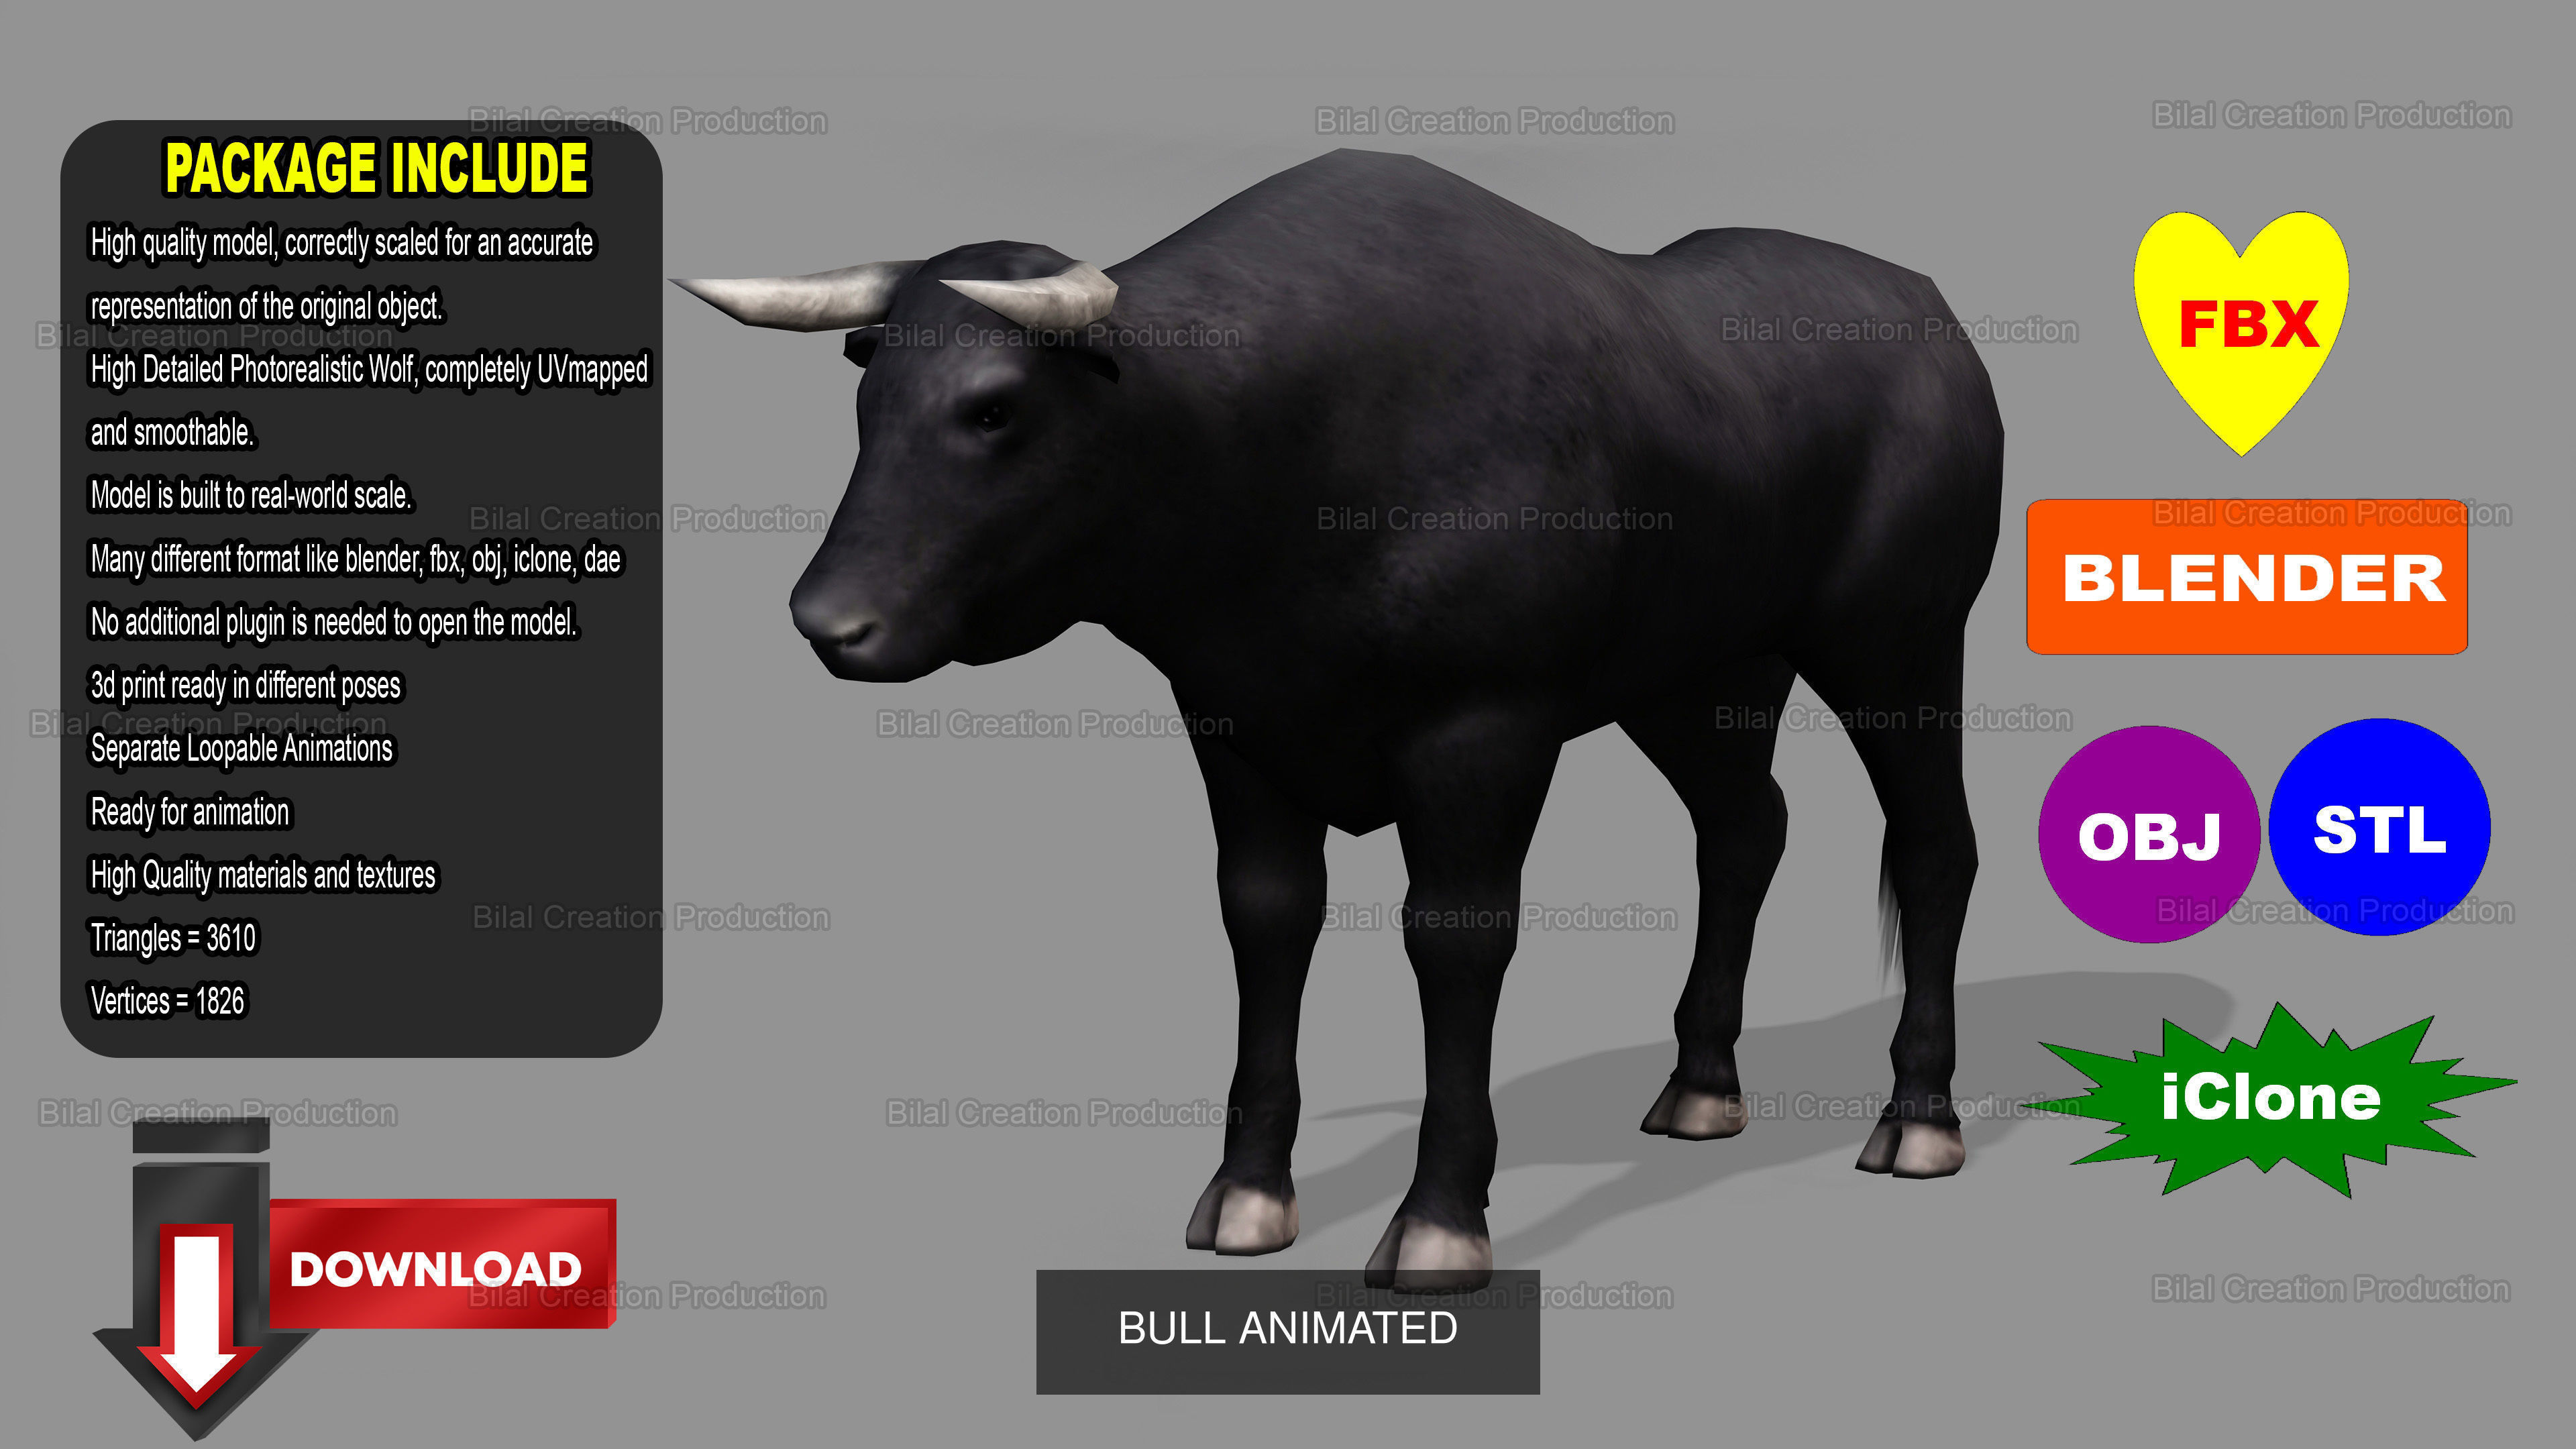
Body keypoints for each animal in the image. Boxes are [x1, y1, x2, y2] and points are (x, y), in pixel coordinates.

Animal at [676, 149, 2003, 1290]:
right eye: (870, 396)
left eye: (996, 408)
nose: (827, 619)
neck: (1285, 457)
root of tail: (1926, 307)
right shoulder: (1237, 728)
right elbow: (1268, 923)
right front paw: (1248, 1193)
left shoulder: (1482, 735)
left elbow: (1454, 940)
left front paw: (1441, 1219)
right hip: (1702, 676)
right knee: (1745, 830)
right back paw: (1701, 1086)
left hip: (1901, 643)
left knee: (1934, 848)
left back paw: (1916, 1120)